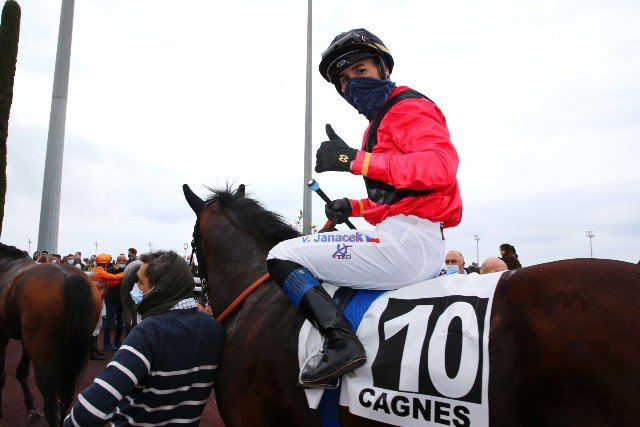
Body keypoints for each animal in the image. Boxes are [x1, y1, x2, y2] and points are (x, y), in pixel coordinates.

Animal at [0, 243, 102, 426]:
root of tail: (71, 279)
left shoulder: (2, 336)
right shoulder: (25, 340)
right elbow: (22, 371)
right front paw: (30, 407)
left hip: (44, 357)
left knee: (51, 405)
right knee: (66, 398)